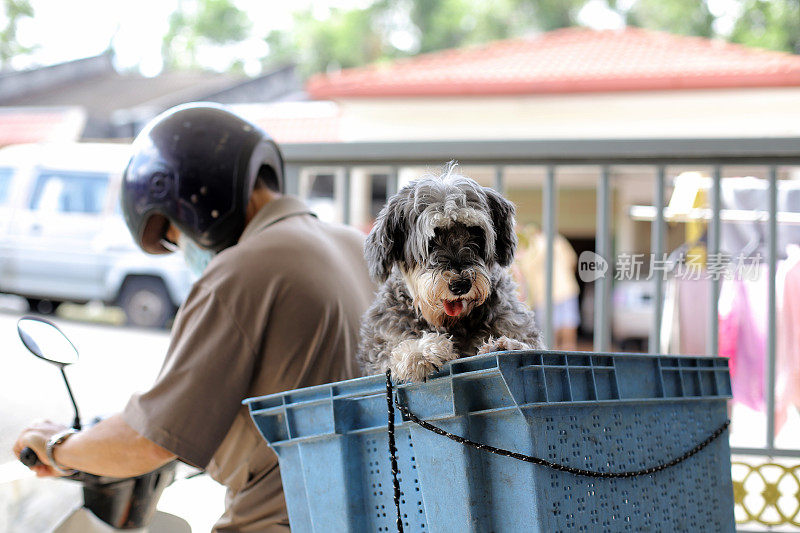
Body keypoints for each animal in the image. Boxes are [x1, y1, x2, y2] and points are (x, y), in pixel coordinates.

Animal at [356, 164, 544, 380]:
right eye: (431, 240)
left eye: (475, 232)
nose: (461, 284)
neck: (453, 323)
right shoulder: (381, 347)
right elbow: (392, 353)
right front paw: (421, 352)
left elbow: (530, 345)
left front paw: (506, 345)